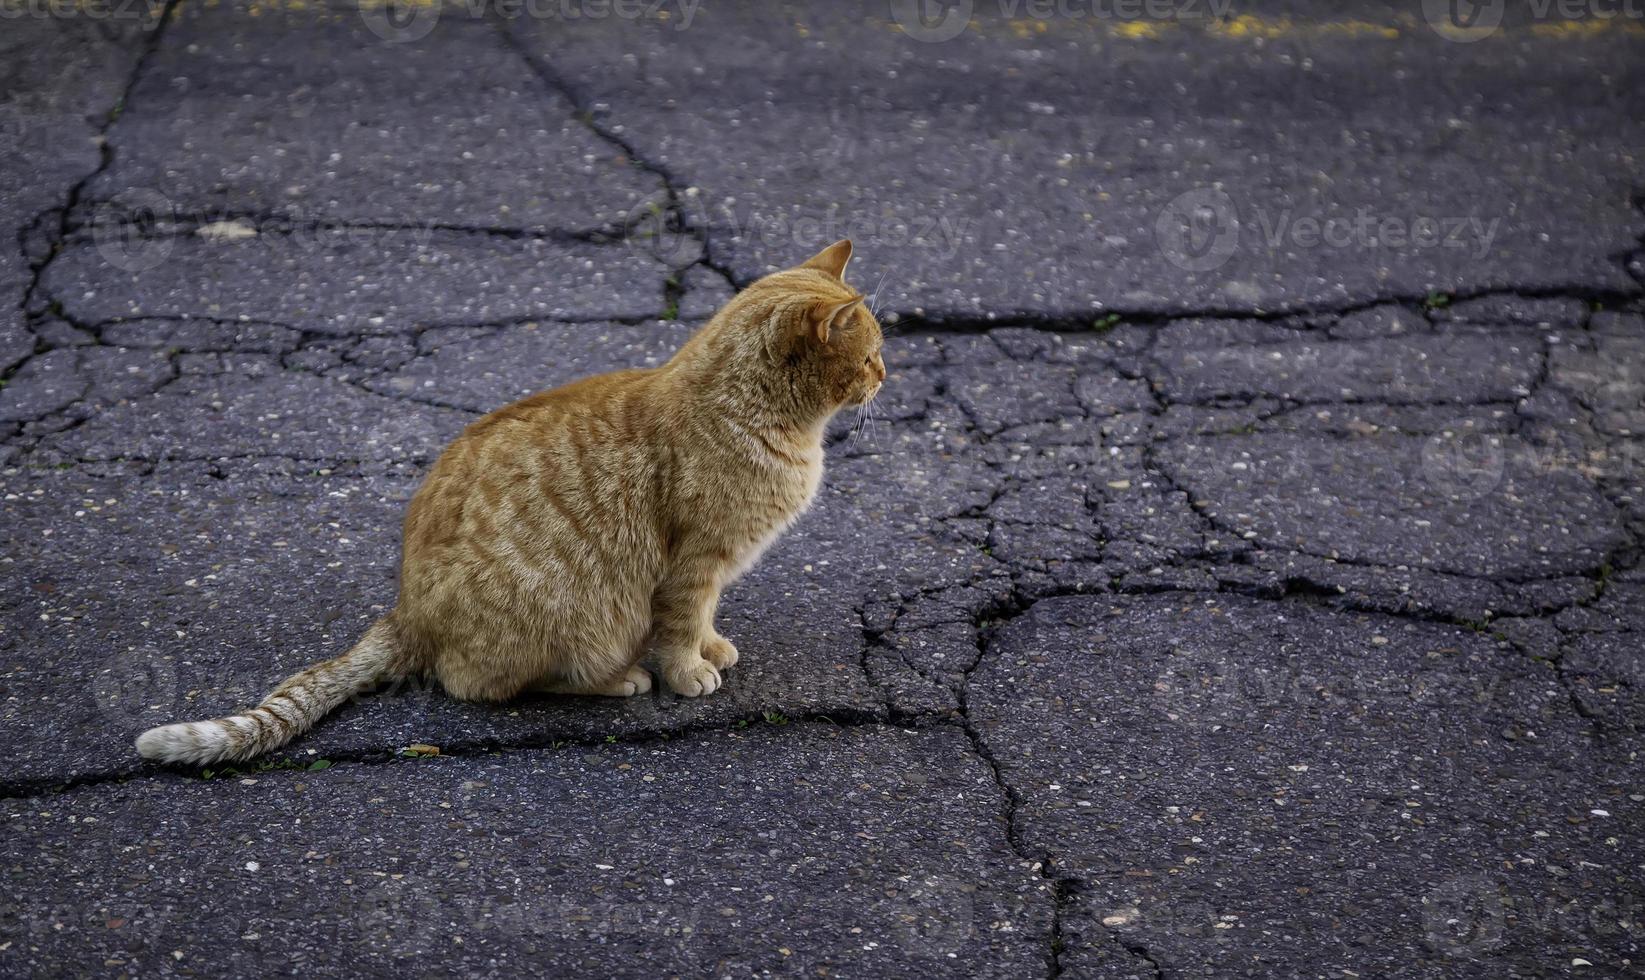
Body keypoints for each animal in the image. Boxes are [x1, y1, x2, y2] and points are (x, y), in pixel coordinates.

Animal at [139, 241, 888, 762]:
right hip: (578, 615)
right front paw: (687, 672)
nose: (887, 375)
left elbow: (703, 620)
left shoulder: (712, 569)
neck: (759, 416)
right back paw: (617, 680)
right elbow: (679, 627)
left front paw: (713, 648)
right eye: (870, 355)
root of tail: (405, 612)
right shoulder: (693, 563)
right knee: (486, 685)